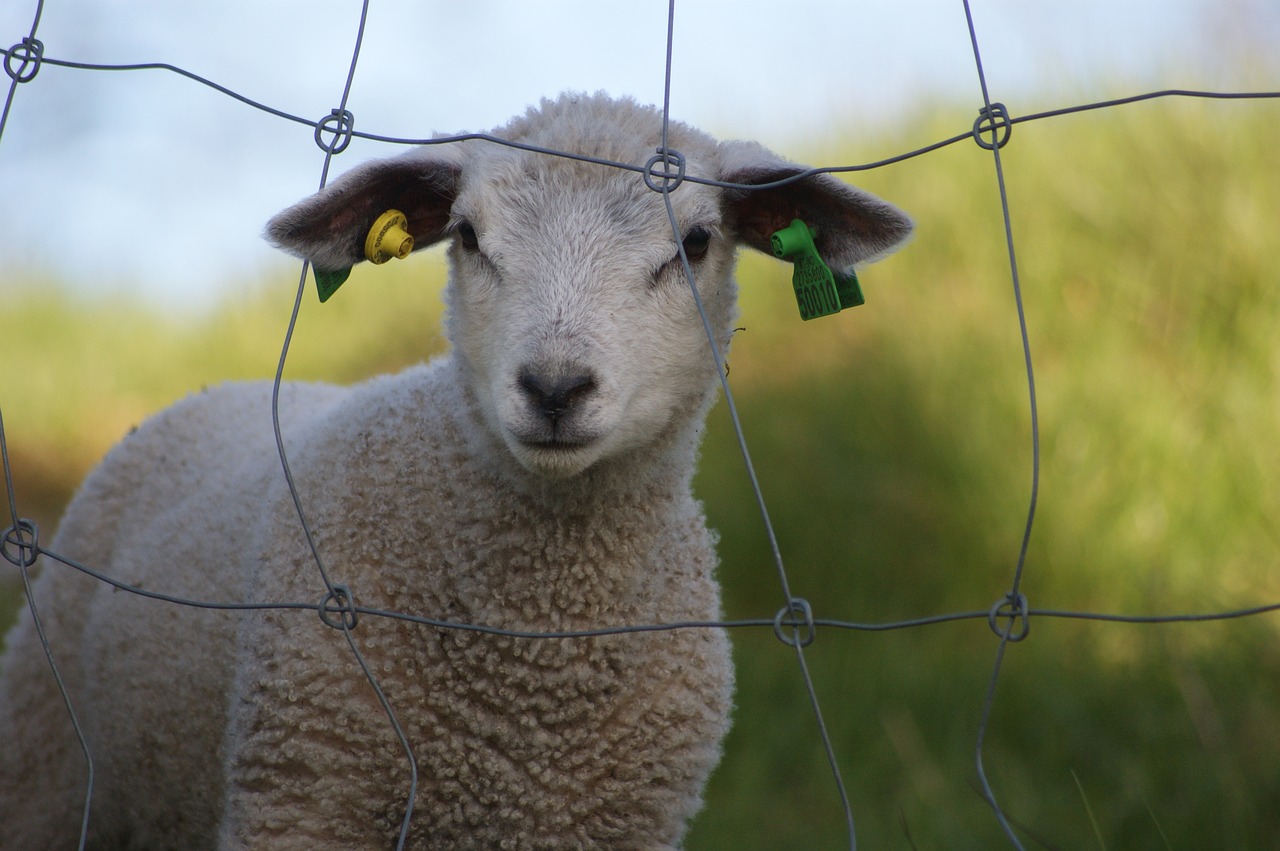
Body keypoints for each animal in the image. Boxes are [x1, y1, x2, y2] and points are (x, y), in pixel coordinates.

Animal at [5, 89, 916, 844]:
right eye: (471, 237)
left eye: (693, 244)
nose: (554, 388)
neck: (540, 648)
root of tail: (212, 388)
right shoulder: (304, 793)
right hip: (49, 757)